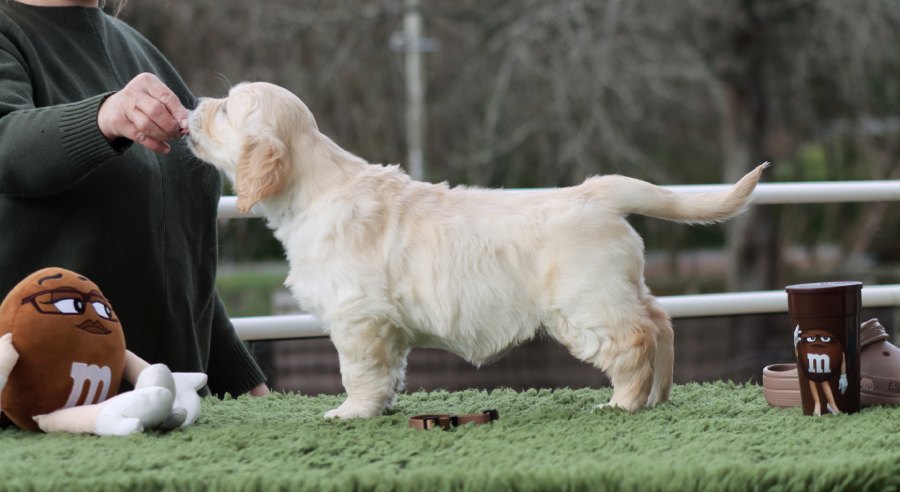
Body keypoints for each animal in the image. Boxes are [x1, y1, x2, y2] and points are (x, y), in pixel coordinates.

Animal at [187, 82, 766, 418]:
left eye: (225, 110)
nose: (190, 106)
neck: (316, 186)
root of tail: (596, 192)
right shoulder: (383, 326)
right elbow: (388, 371)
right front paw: (382, 406)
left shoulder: (358, 317)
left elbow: (358, 372)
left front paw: (352, 412)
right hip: (622, 286)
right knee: (662, 324)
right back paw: (659, 395)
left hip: (588, 302)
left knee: (635, 340)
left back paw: (622, 402)